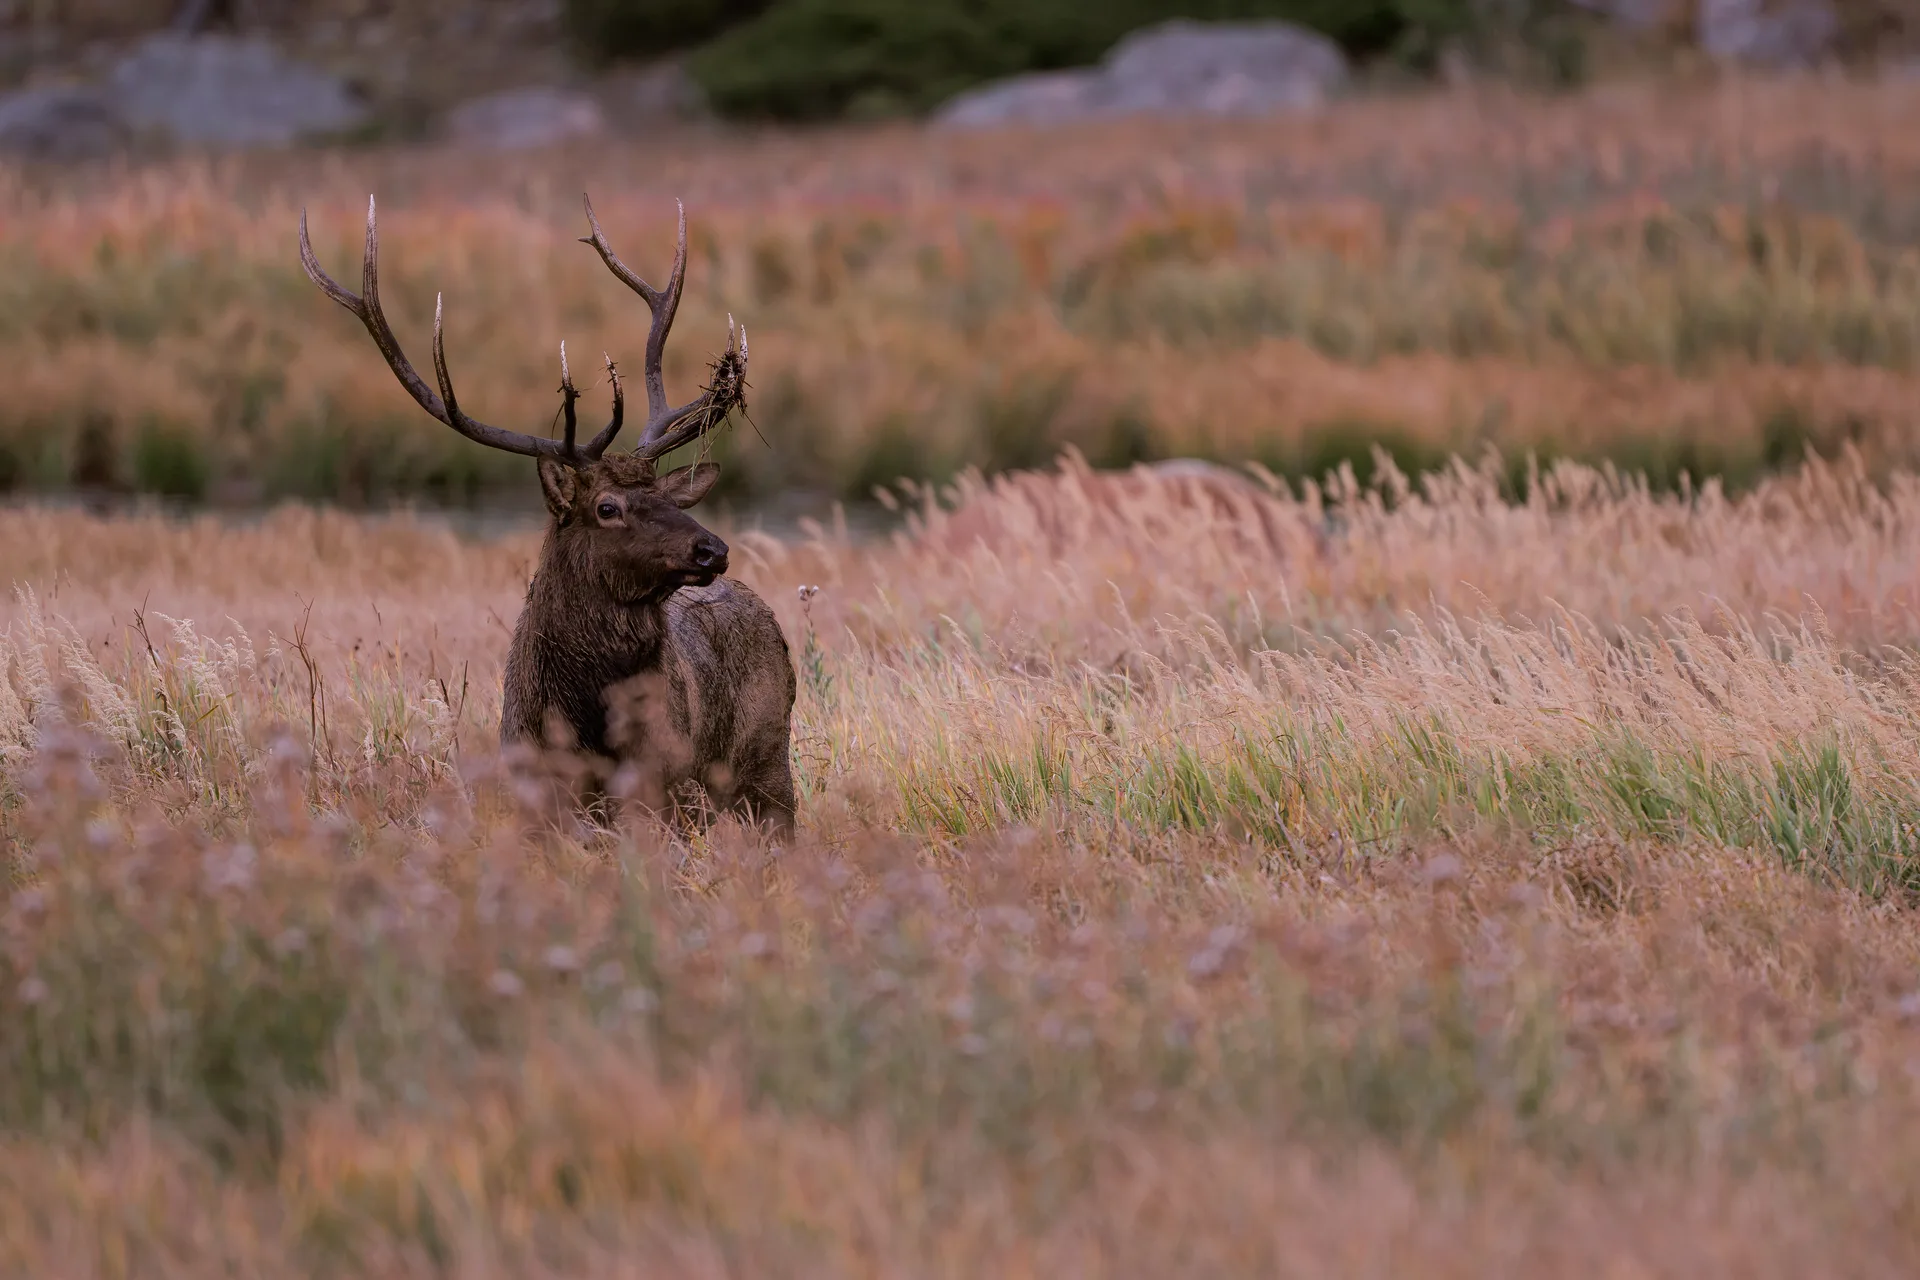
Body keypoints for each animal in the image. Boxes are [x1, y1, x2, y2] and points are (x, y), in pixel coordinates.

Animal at [298, 194, 797, 836]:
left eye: (668, 497)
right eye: (607, 508)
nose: (713, 549)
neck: (586, 732)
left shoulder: (658, 791)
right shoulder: (536, 792)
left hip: (768, 766)